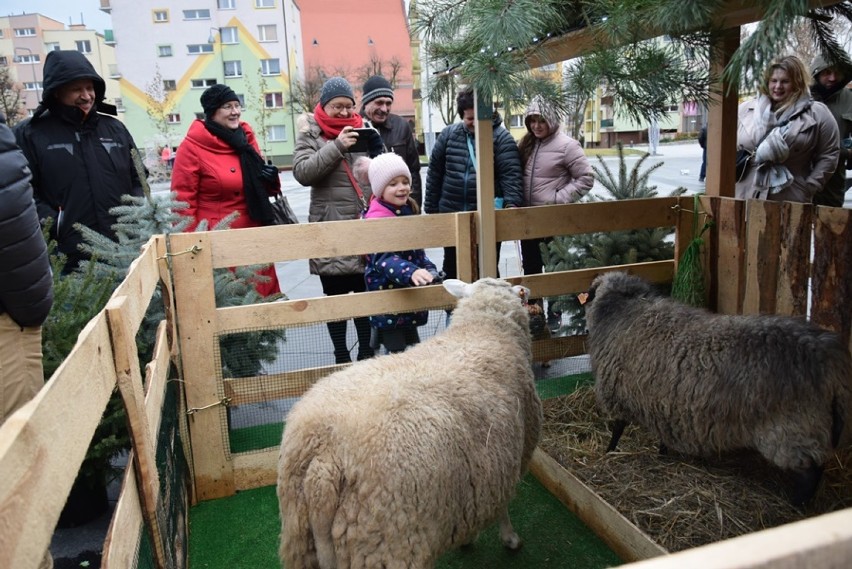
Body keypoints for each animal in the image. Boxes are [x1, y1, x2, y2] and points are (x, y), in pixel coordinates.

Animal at [274, 276, 540, 564]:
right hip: (388, 543)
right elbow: (502, 506)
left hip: (301, 537)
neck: (481, 329)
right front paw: (509, 538)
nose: (528, 289)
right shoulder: (509, 457)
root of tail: (323, 464)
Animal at [584, 270, 852, 506]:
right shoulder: (662, 400)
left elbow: (618, 428)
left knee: (811, 473)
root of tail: (833, 360)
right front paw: (662, 453)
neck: (623, 308)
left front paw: (609, 452)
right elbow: (661, 432)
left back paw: (797, 505)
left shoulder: (617, 390)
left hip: (794, 429)